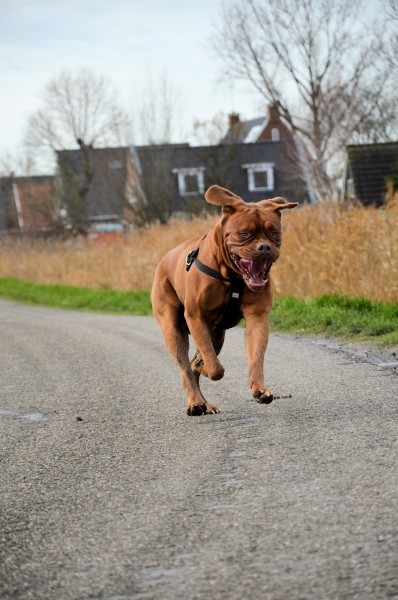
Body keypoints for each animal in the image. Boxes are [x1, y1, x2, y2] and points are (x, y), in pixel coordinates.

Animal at [151, 185, 296, 414]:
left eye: (274, 233)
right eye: (244, 234)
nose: (264, 247)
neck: (232, 277)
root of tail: (164, 260)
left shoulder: (257, 318)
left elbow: (256, 357)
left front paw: (259, 389)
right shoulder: (196, 317)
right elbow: (214, 368)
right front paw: (204, 366)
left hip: (216, 334)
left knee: (198, 358)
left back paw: (204, 401)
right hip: (172, 328)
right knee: (186, 367)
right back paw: (196, 402)